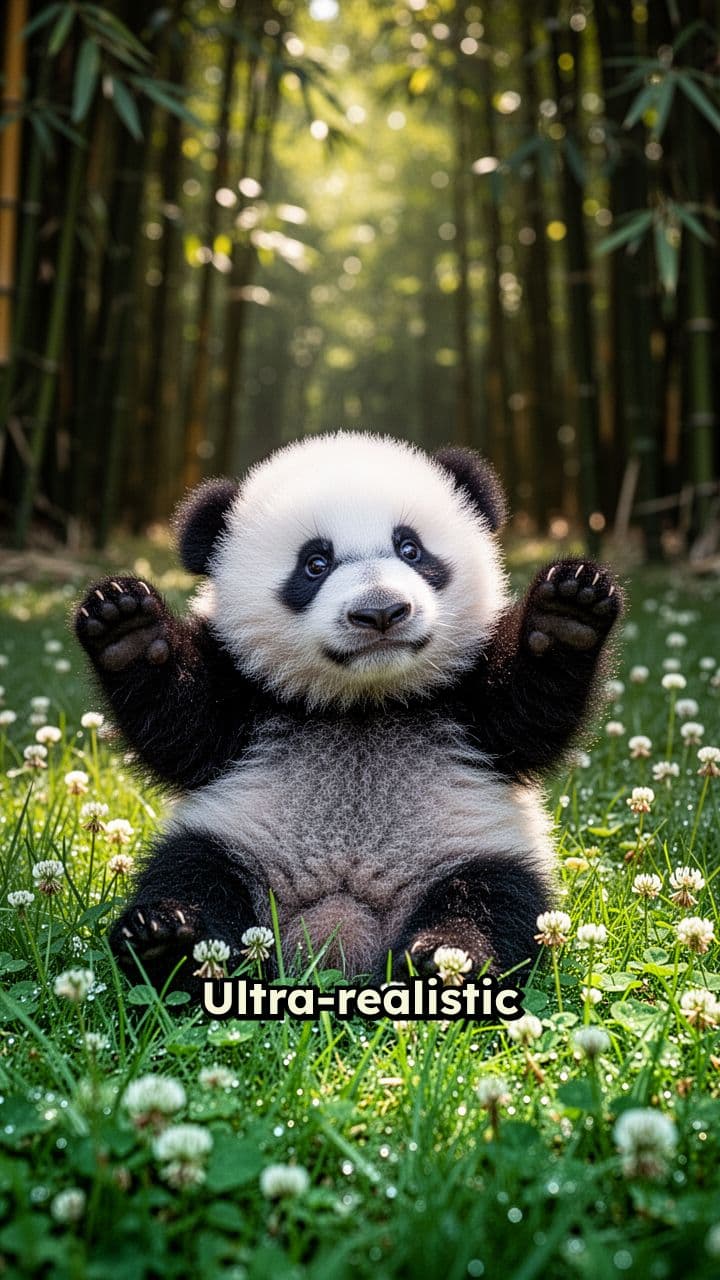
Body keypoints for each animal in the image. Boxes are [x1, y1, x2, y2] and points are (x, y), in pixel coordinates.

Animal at [74, 431, 621, 990]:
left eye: (410, 548)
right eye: (315, 564)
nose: (381, 611)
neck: (363, 701)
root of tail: (340, 936)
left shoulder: (467, 698)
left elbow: (528, 716)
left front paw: (566, 611)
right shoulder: (244, 693)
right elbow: (182, 726)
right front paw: (128, 628)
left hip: (470, 847)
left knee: (494, 898)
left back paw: (448, 957)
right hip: (236, 840)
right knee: (191, 874)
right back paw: (167, 937)